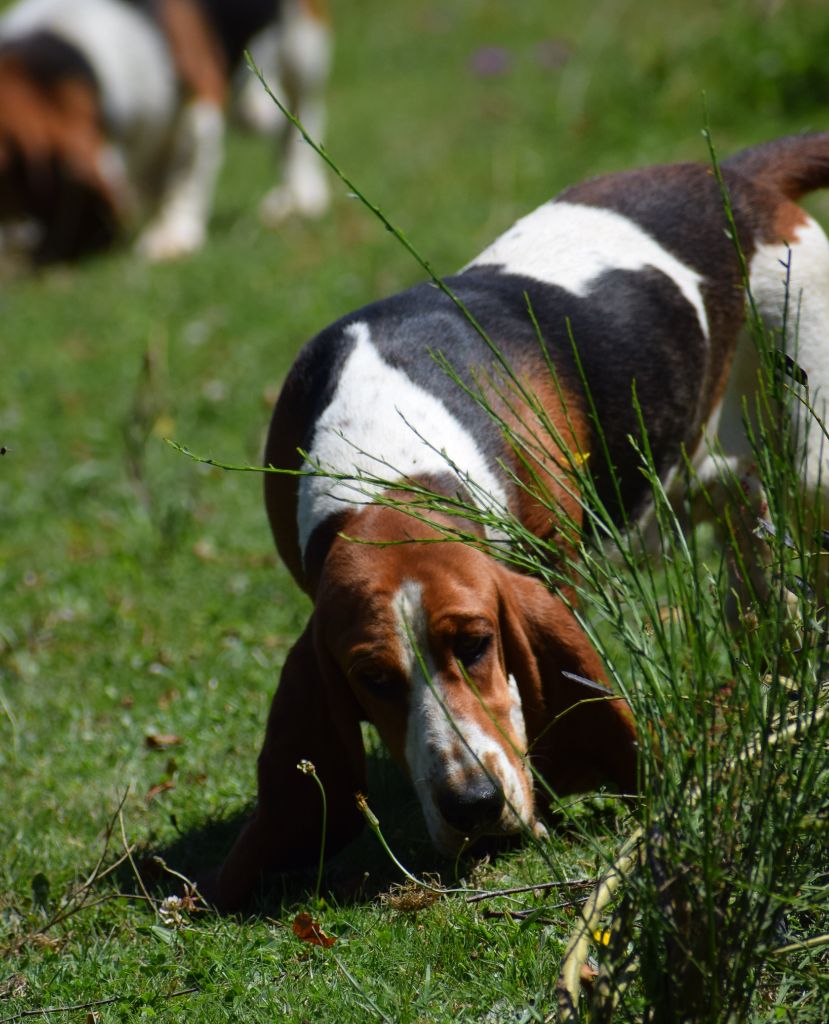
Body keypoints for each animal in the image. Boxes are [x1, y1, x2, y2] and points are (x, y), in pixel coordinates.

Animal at [0, 1, 329, 264]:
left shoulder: (197, 108)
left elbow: (183, 177)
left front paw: (171, 237)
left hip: (303, 48)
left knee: (299, 117)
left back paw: (302, 196)